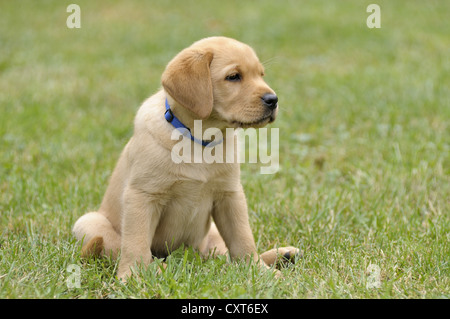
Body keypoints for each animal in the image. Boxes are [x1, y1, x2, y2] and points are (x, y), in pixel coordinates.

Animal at [73, 36, 298, 280]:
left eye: (261, 75)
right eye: (233, 76)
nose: (273, 99)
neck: (199, 140)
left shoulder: (230, 195)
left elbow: (243, 239)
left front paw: (260, 272)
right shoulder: (142, 196)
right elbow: (136, 243)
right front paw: (133, 276)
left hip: (211, 233)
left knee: (222, 255)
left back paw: (283, 254)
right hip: (89, 222)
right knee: (120, 248)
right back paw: (159, 269)